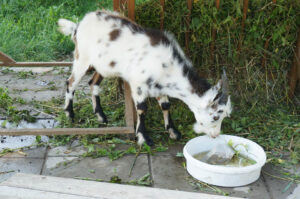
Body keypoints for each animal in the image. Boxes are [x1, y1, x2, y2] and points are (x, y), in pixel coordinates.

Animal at [58, 9, 232, 146]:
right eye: (216, 116)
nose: (215, 135)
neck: (167, 65)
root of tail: (78, 25)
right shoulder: (138, 85)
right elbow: (142, 108)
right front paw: (144, 138)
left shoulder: (161, 86)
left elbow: (166, 105)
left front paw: (173, 132)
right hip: (82, 58)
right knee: (70, 82)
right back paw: (70, 114)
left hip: (103, 66)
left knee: (93, 83)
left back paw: (101, 117)